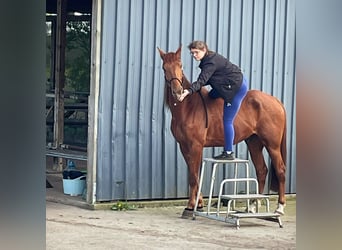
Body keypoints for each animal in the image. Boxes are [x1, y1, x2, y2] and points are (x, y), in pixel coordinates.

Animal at [159, 46, 288, 214]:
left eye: (180, 66)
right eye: (164, 68)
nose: (178, 91)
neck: (188, 106)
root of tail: (276, 101)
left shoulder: (195, 146)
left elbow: (193, 176)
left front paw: (190, 206)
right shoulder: (184, 147)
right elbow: (194, 175)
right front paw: (199, 204)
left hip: (272, 145)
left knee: (280, 170)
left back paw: (279, 207)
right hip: (254, 143)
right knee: (261, 170)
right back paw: (253, 205)